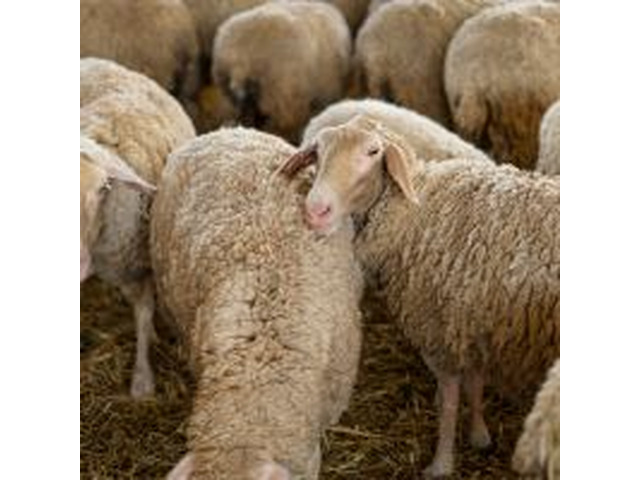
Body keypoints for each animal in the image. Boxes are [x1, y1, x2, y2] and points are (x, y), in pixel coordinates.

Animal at [280, 115, 559, 477]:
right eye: (318, 151)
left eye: (373, 151)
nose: (316, 211)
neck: (415, 210)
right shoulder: (470, 320)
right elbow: (475, 383)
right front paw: (480, 434)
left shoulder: (439, 329)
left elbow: (449, 402)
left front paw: (441, 463)